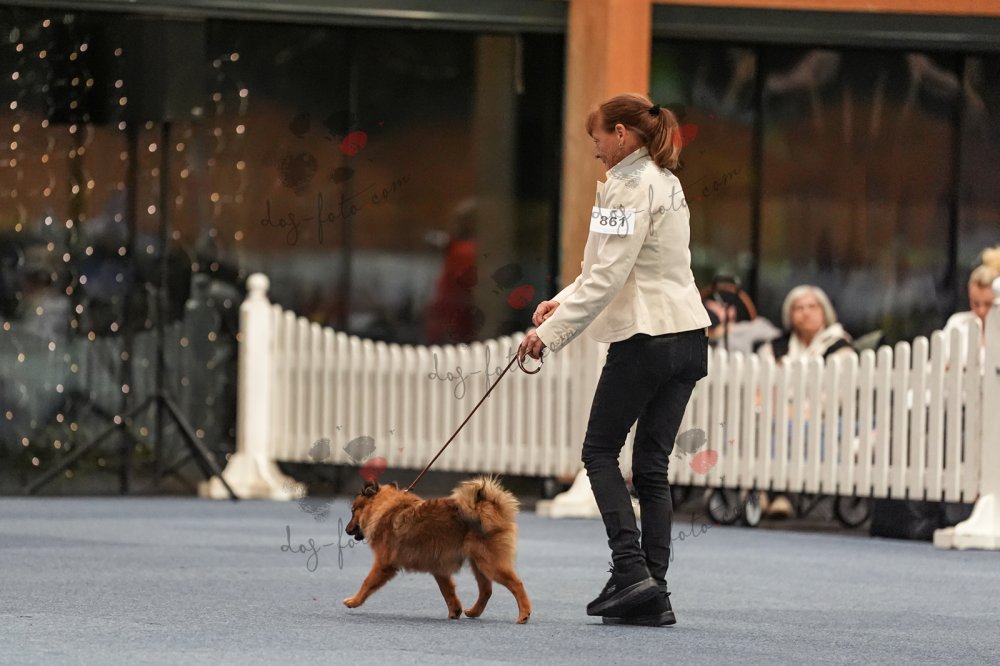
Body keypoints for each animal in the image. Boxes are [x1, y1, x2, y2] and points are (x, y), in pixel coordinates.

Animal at [343, 476, 531, 624]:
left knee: (516, 584)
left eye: (353, 511)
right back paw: (474, 611)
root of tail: (490, 508)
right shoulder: (439, 569)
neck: (385, 508)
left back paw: (524, 614)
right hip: (479, 564)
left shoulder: (383, 564)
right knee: (486, 590)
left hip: (489, 564)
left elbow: (367, 582)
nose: (346, 529)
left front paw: (354, 601)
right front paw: (455, 611)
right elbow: (447, 591)